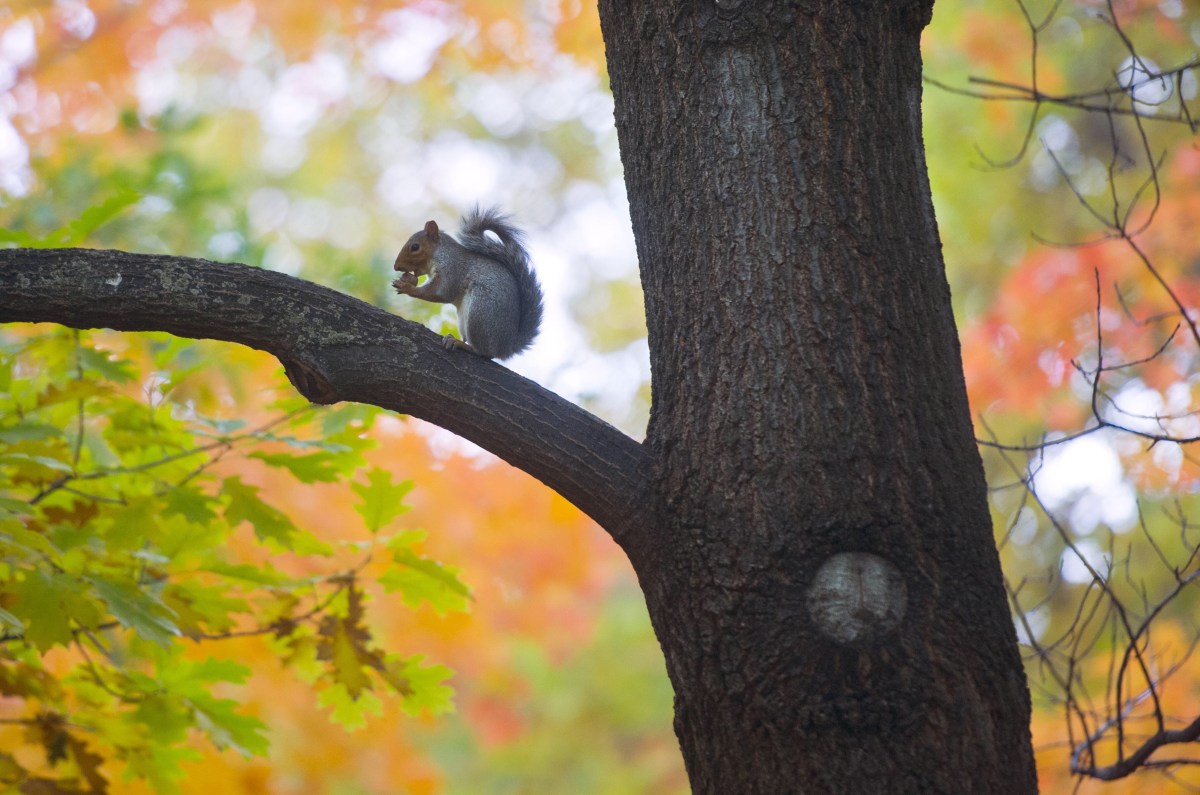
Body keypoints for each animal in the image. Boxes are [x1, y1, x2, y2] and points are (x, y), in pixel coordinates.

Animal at [392, 207, 544, 360]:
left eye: (415, 247)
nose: (396, 266)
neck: (440, 253)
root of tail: (506, 347)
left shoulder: (452, 269)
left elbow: (440, 292)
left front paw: (407, 287)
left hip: (480, 312)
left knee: (485, 352)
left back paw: (462, 344)